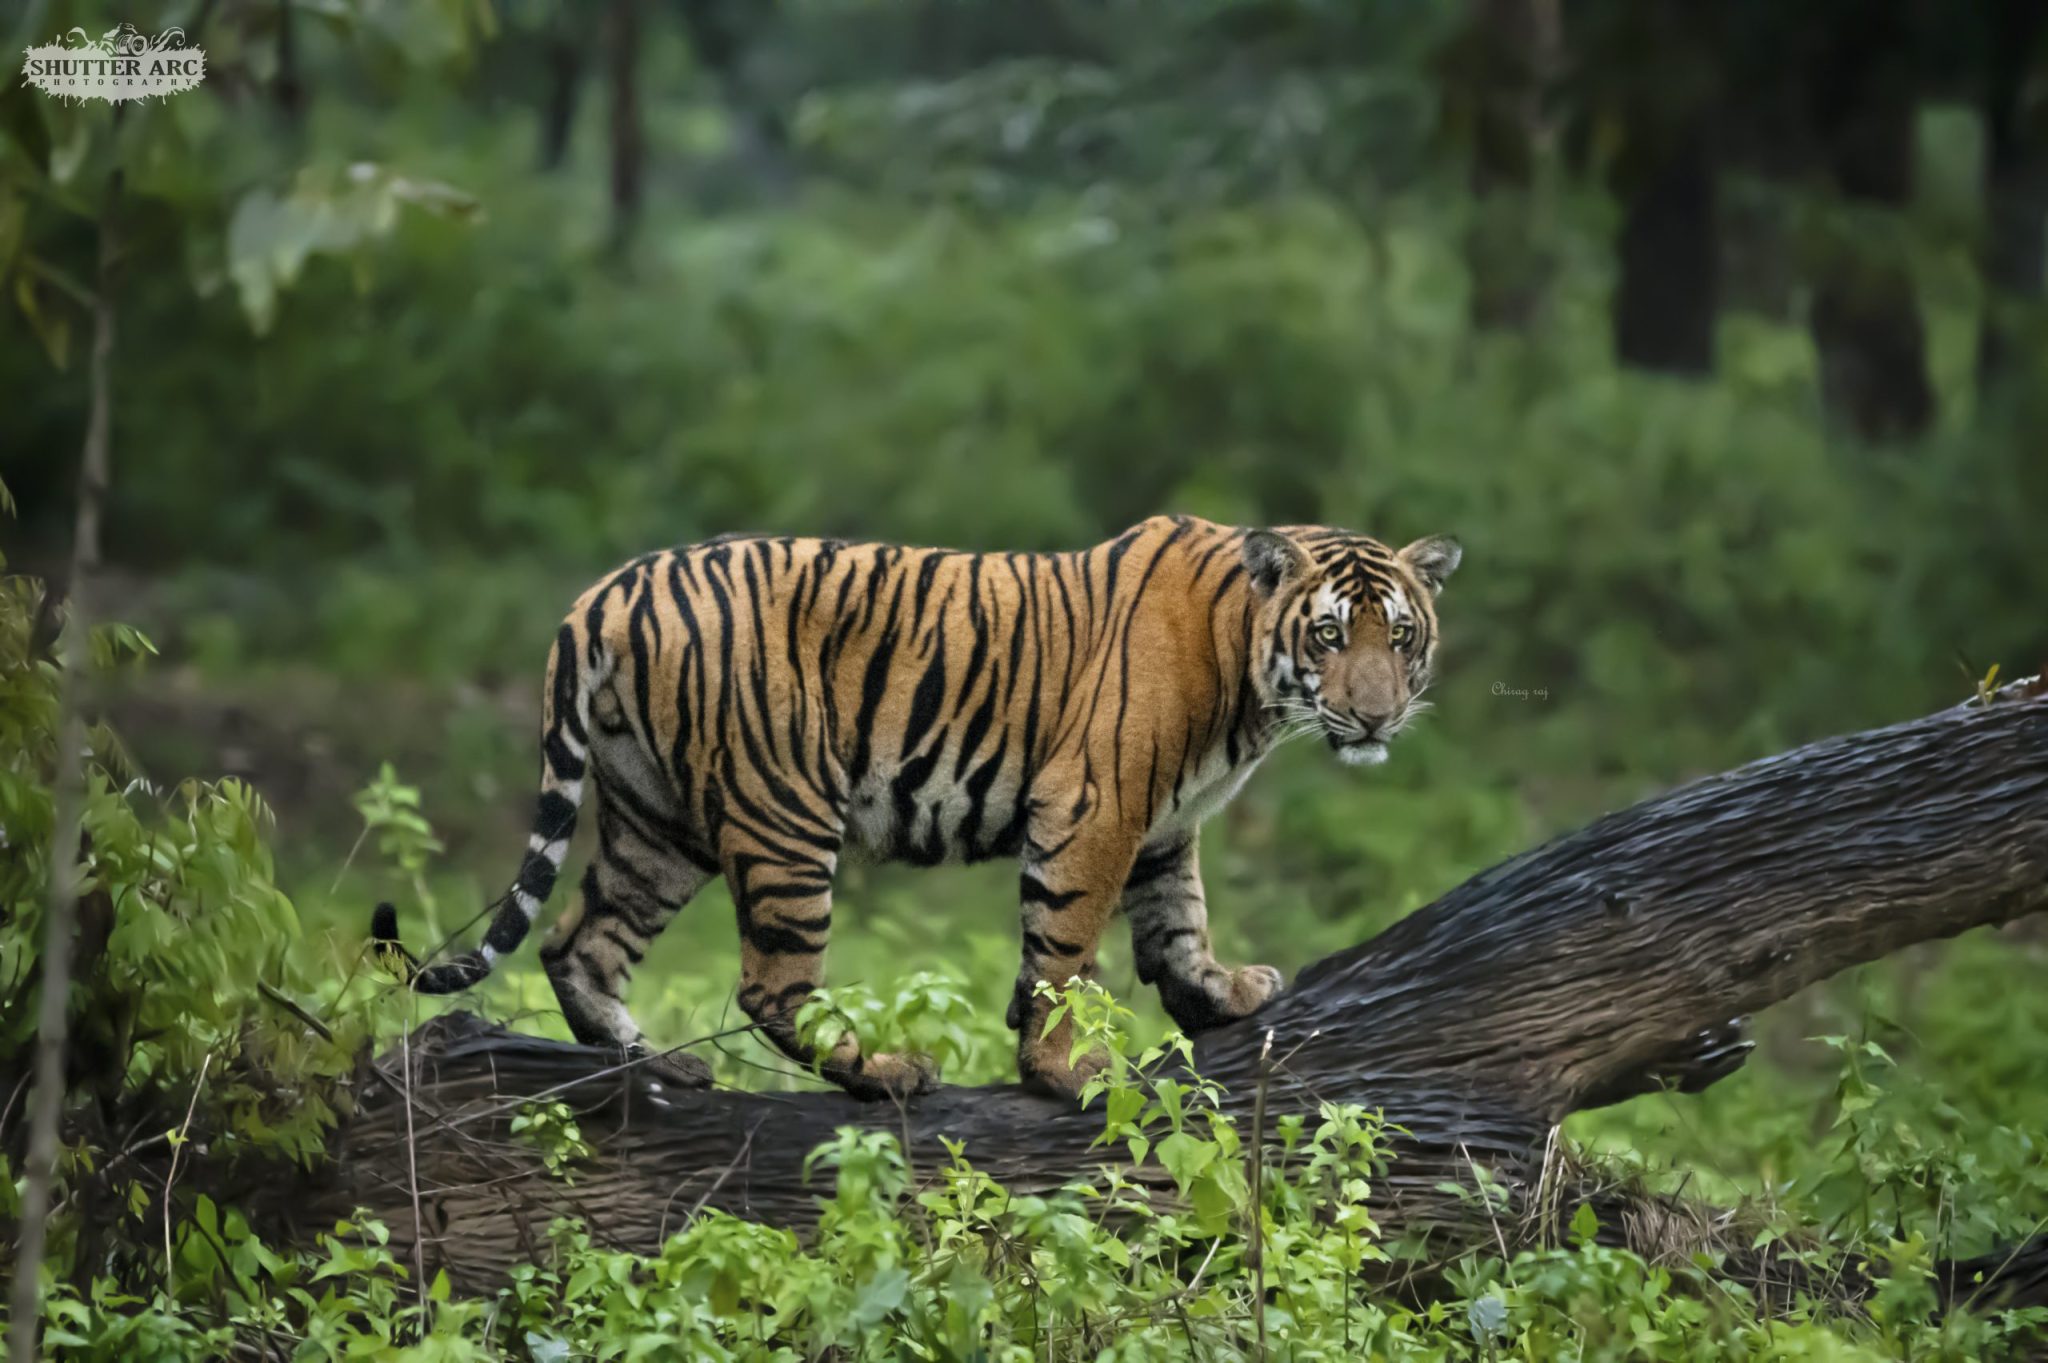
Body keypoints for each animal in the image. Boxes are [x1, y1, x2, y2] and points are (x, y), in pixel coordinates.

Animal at [371, 515, 1459, 1099]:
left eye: (1399, 637)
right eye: (1329, 635)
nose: (1375, 714)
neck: (1252, 677)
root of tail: (604, 593)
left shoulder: (1167, 820)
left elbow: (1178, 920)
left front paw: (1220, 992)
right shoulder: (1096, 802)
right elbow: (1067, 950)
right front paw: (1064, 1069)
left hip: (655, 819)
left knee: (578, 942)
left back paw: (653, 1066)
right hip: (783, 814)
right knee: (770, 987)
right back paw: (887, 1069)